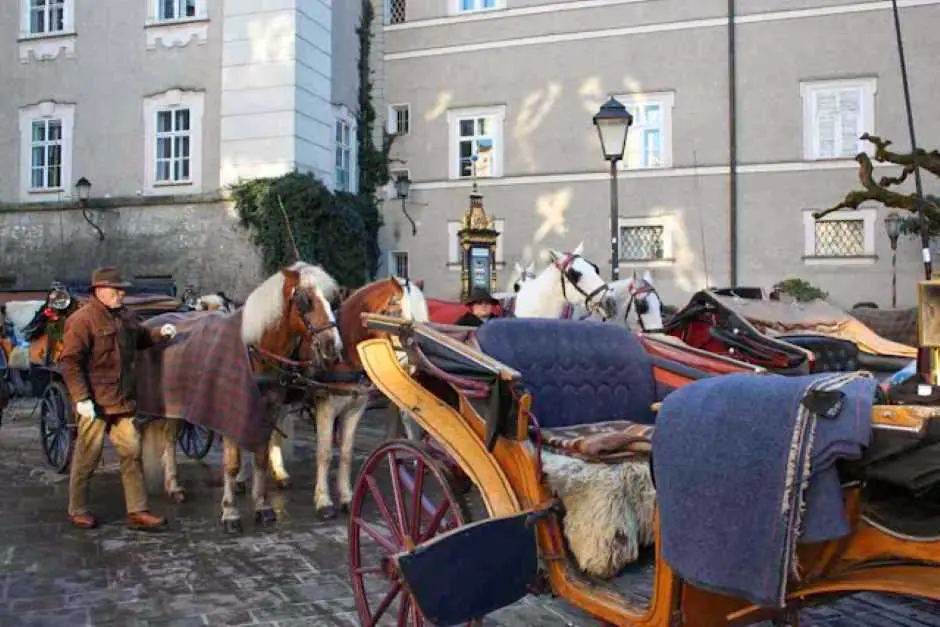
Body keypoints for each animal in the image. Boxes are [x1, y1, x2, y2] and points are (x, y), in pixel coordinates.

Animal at [140, 262, 342, 532]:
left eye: (332, 299)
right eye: (304, 300)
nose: (333, 347)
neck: (254, 351)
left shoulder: (269, 410)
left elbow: (261, 456)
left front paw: (262, 507)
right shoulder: (228, 412)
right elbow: (232, 462)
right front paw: (230, 512)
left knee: (170, 438)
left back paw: (174, 487)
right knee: (163, 440)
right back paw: (167, 487)